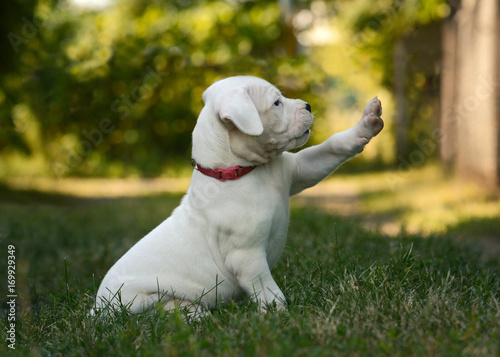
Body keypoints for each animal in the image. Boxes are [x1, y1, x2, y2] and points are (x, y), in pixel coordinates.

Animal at [94, 75, 382, 314]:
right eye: (276, 103)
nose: (308, 105)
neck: (242, 171)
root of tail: (95, 312)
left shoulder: (299, 171)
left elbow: (332, 147)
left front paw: (367, 122)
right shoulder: (247, 257)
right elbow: (267, 290)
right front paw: (282, 316)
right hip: (139, 298)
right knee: (161, 311)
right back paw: (194, 314)